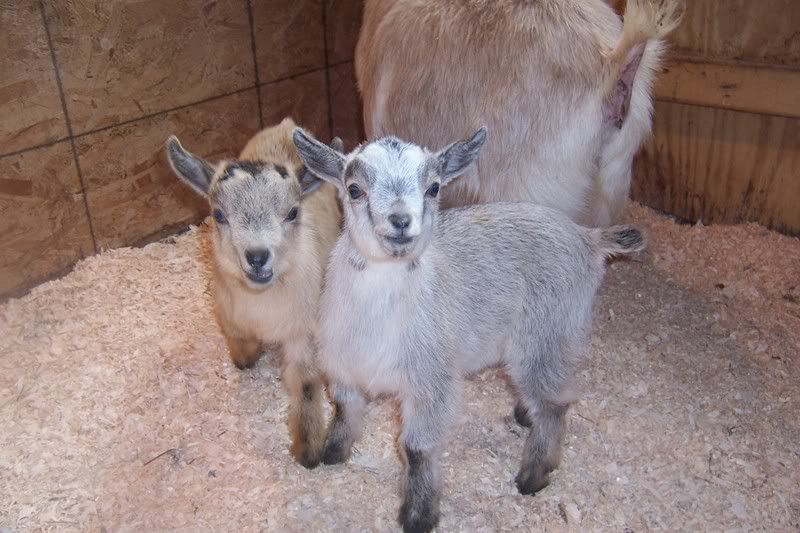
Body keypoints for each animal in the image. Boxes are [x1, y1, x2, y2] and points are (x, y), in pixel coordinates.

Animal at [165, 118, 342, 468]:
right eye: (219, 215)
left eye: (292, 212)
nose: (258, 257)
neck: (263, 307)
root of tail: (287, 125)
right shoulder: (230, 316)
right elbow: (243, 357)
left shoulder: (304, 332)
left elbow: (306, 384)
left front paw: (308, 452)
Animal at [293, 127, 646, 532]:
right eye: (354, 189)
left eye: (433, 187)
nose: (401, 220)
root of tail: (588, 239)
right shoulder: (343, 367)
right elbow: (344, 410)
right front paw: (331, 454)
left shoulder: (431, 382)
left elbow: (417, 449)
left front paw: (418, 516)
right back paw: (524, 417)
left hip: (544, 334)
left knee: (555, 402)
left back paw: (533, 476)